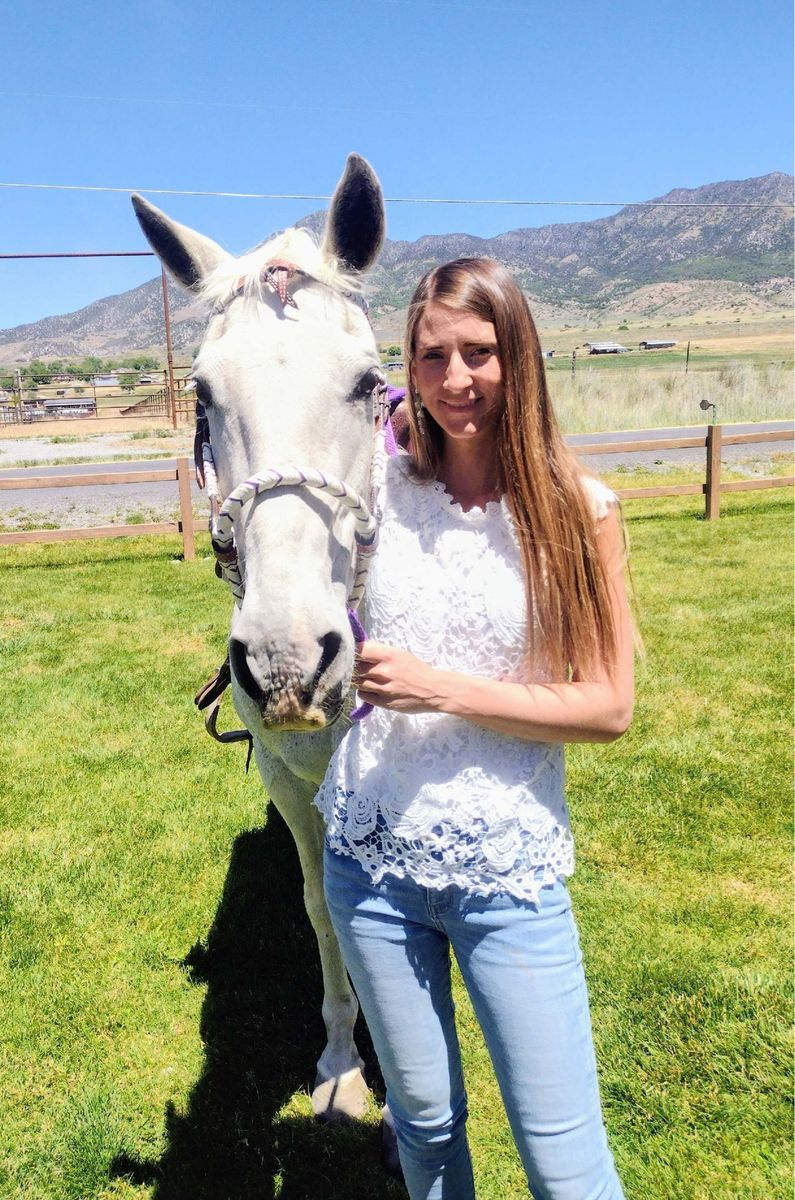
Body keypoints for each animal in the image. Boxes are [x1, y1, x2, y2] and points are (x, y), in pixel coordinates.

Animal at [132, 154, 386, 1124]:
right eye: (201, 393)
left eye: (367, 383)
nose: (285, 663)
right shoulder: (286, 779)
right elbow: (324, 906)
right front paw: (341, 1059)